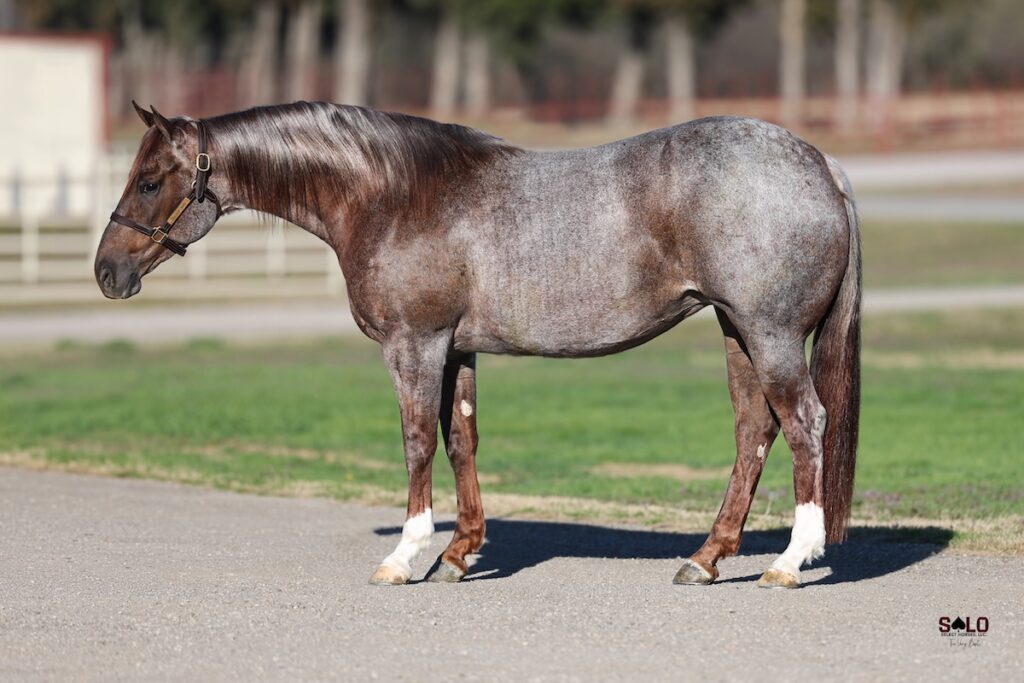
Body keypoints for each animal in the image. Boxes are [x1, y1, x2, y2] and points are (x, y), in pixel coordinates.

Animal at [95, 101, 860, 589]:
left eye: (150, 179)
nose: (106, 272)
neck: (392, 194)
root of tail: (821, 163)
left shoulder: (414, 345)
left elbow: (416, 442)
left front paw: (405, 555)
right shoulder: (456, 349)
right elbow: (460, 439)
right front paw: (460, 552)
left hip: (769, 335)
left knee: (805, 424)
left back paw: (789, 562)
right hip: (736, 331)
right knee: (754, 431)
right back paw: (706, 558)